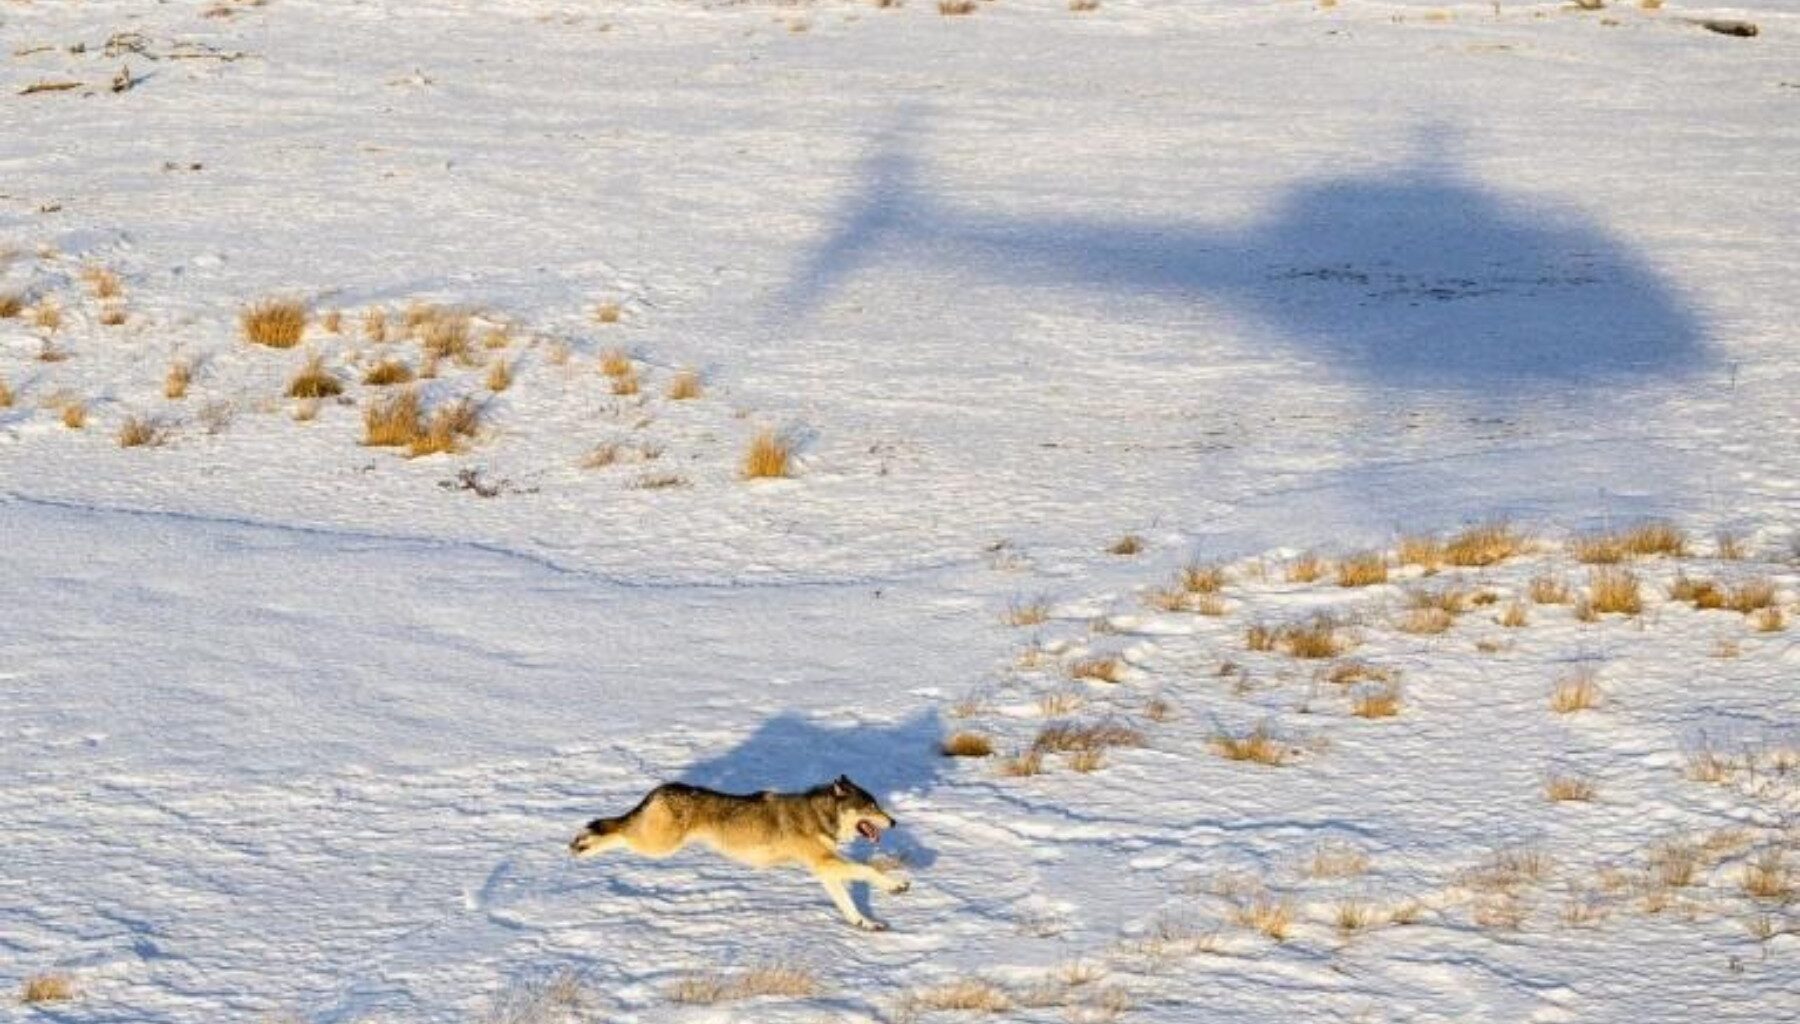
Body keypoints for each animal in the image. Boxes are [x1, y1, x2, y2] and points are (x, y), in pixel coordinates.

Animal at [569, 774, 909, 930]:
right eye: (871, 806)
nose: (894, 821)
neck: (820, 814)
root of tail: (660, 789)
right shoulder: (826, 862)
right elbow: (869, 870)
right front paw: (898, 885)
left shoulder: (825, 869)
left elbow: (849, 904)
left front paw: (867, 924)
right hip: (658, 845)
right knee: (617, 830)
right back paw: (582, 846)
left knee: (616, 830)